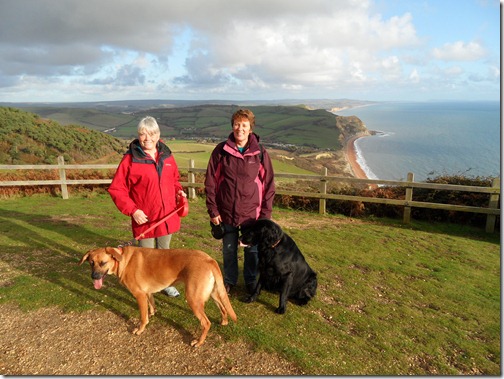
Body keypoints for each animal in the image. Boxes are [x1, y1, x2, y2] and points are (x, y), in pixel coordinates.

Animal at [79, 246, 236, 348]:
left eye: (103, 263)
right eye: (91, 263)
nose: (94, 277)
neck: (123, 260)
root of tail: (210, 260)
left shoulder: (139, 295)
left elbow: (142, 317)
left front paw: (140, 329)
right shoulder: (147, 293)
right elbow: (151, 306)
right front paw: (152, 314)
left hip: (193, 299)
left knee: (206, 323)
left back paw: (199, 342)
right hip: (213, 293)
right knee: (223, 308)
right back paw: (224, 321)